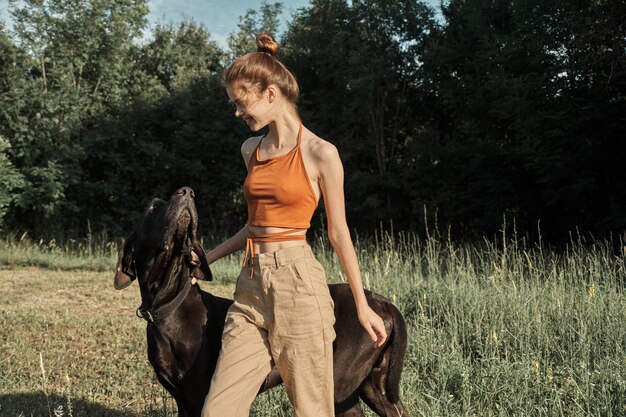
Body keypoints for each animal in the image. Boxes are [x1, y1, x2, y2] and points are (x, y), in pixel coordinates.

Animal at [114, 188, 410, 416]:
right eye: (153, 206)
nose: (187, 192)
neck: (168, 307)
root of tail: (382, 303)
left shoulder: (198, 396)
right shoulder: (182, 399)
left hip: (340, 386)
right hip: (373, 386)